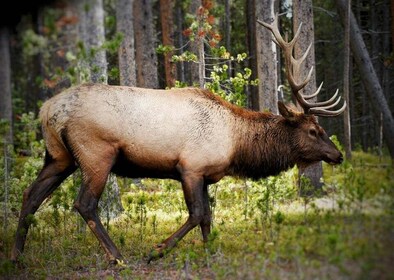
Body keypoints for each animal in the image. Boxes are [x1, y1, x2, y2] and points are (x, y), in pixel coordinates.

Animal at [10, 16, 346, 266]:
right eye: (313, 130)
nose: (338, 155)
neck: (236, 144)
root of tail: (47, 110)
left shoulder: (206, 175)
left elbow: (208, 217)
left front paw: (211, 254)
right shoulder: (190, 168)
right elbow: (196, 213)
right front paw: (156, 251)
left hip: (58, 156)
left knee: (31, 195)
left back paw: (16, 257)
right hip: (96, 154)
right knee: (85, 204)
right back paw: (117, 257)